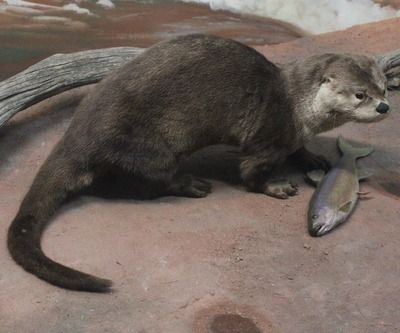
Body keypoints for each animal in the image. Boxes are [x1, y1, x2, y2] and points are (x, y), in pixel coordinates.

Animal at [6, 33, 390, 292]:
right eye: (360, 94)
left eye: (384, 87)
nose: (385, 107)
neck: (297, 106)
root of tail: (76, 134)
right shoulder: (268, 135)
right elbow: (252, 172)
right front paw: (278, 186)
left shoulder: (291, 134)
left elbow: (299, 150)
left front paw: (313, 156)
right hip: (147, 149)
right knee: (146, 182)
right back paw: (192, 184)